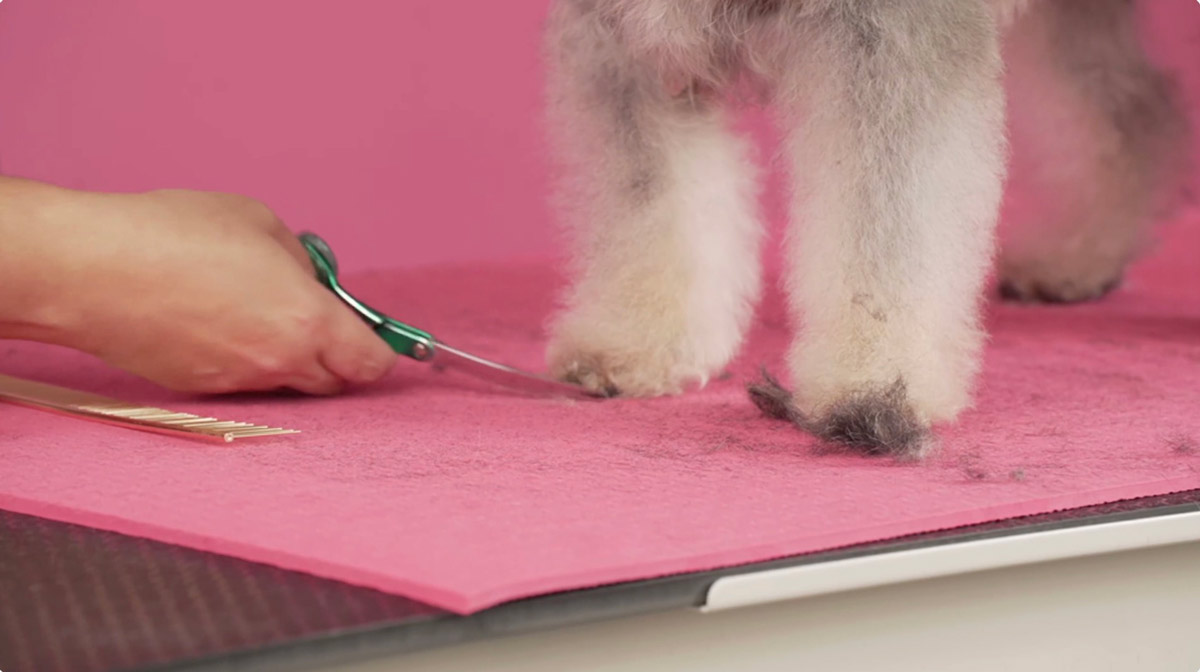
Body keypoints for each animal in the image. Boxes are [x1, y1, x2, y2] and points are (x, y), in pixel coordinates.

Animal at [541, 0, 1190, 457]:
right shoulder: (633, 42)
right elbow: (651, 202)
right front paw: (639, 343)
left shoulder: (889, 39)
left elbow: (889, 226)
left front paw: (877, 380)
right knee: (1127, 109)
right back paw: (1081, 256)